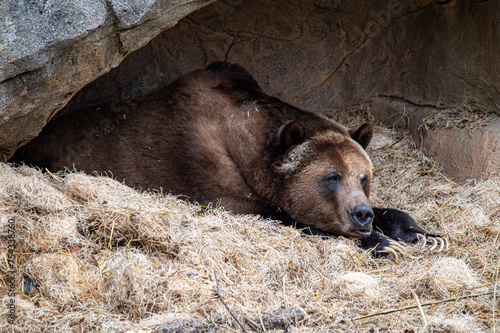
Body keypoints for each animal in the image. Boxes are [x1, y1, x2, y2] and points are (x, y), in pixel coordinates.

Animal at [11, 61, 444, 254]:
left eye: (363, 177)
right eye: (331, 177)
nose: (361, 213)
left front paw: (418, 230)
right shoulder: (204, 164)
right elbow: (279, 213)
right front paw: (380, 241)